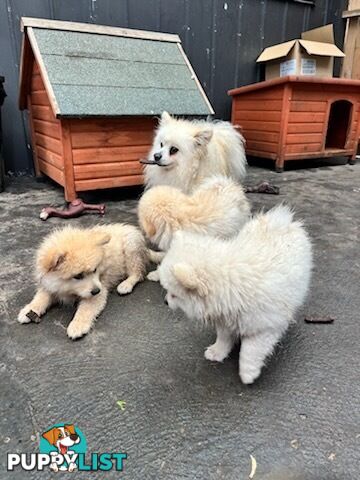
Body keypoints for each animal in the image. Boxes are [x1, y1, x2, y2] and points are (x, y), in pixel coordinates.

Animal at [17, 224, 161, 340]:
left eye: (95, 270)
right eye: (78, 276)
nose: (97, 290)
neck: (67, 289)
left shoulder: (98, 292)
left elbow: (85, 309)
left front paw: (77, 325)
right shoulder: (49, 285)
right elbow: (41, 297)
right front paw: (29, 310)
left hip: (131, 248)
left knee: (138, 273)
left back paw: (126, 285)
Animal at [158, 204, 312, 384]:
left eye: (174, 295)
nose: (165, 302)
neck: (229, 284)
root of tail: (282, 221)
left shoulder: (262, 328)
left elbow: (250, 351)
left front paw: (248, 373)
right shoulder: (225, 319)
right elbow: (223, 338)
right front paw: (217, 352)